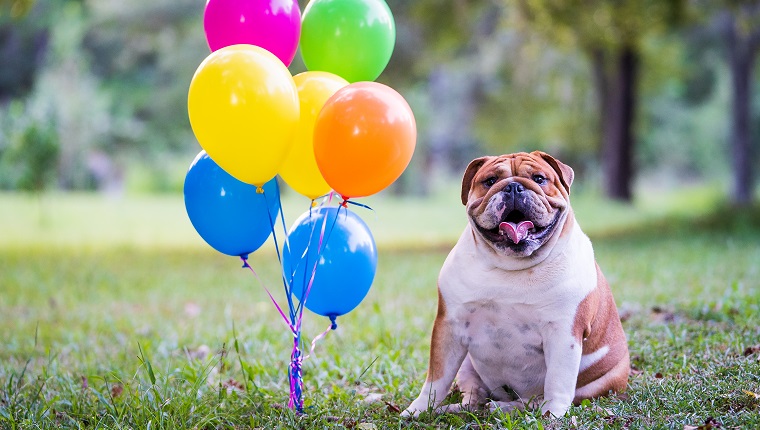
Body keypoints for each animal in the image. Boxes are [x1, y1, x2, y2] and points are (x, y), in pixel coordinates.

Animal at [404, 150, 628, 416]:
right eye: (490, 181)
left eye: (539, 178)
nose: (513, 187)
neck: (511, 266)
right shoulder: (449, 325)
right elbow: (436, 378)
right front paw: (419, 409)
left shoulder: (564, 333)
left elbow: (557, 381)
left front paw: (552, 415)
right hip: (468, 365)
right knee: (475, 397)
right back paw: (458, 409)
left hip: (604, 381)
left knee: (533, 401)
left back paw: (507, 407)